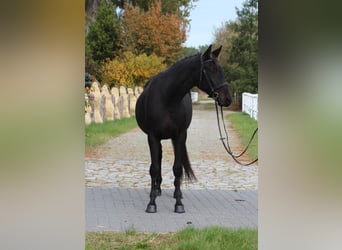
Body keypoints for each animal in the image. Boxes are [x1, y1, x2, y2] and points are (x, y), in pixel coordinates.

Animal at [135, 45, 231, 213]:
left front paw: (178, 203)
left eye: (221, 69)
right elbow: (154, 168)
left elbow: (178, 169)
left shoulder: (180, 136)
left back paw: (175, 193)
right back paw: (157, 189)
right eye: (211, 69)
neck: (168, 97)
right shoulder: (152, 137)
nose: (227, 99)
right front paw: (151, 203)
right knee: (159, 159)